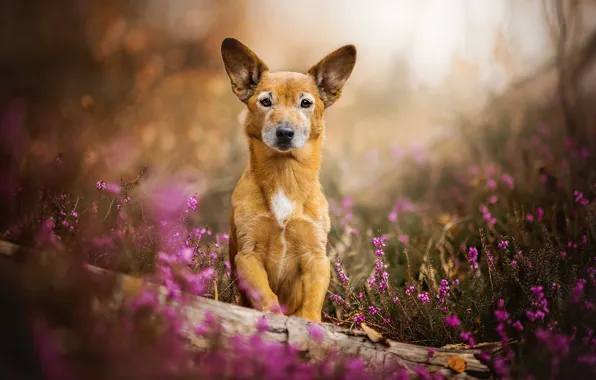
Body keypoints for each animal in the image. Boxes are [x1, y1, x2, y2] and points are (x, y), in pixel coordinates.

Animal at [221, 37, 356, 322]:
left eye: (305, 103)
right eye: (265, 101)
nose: (285, 132)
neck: (285, 175)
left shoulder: (317, 258)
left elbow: (312, 301)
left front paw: (309, 323)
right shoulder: (248, 256)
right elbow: (266, 296)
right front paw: (273, 318)